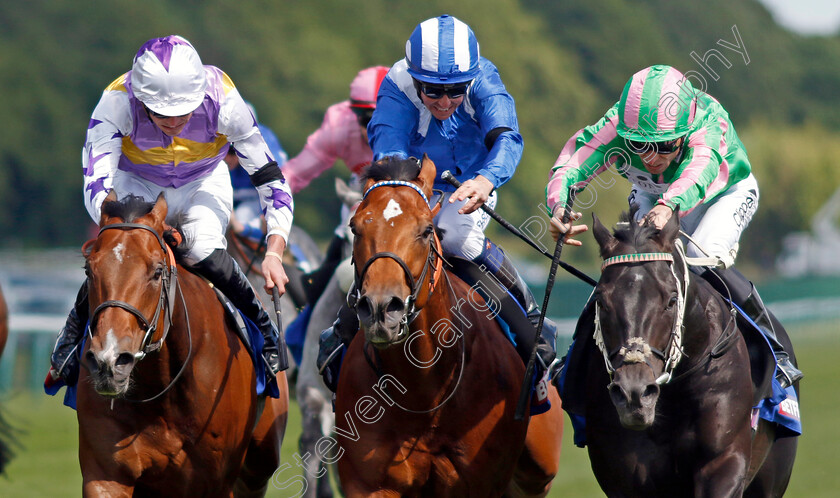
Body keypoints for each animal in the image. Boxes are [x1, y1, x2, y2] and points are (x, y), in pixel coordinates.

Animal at [79, 192, 288, 498]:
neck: (163, 392)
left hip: (260, 462)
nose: (110, 360)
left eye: (157, 272)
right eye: (89, 270)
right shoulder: (106, 474)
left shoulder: (216, 482)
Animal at [334, 157, 564, 498]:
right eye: (355, 227)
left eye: (425, 230)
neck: (425, 391)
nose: (381, 309)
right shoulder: (369, 483)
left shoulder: (480, 481)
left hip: (538, 470)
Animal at [576, 211, 796, 498]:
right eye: (601, 301)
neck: (674, 396)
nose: (634, 392)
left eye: (671, 300)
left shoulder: (723, 461)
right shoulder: (623, 475)